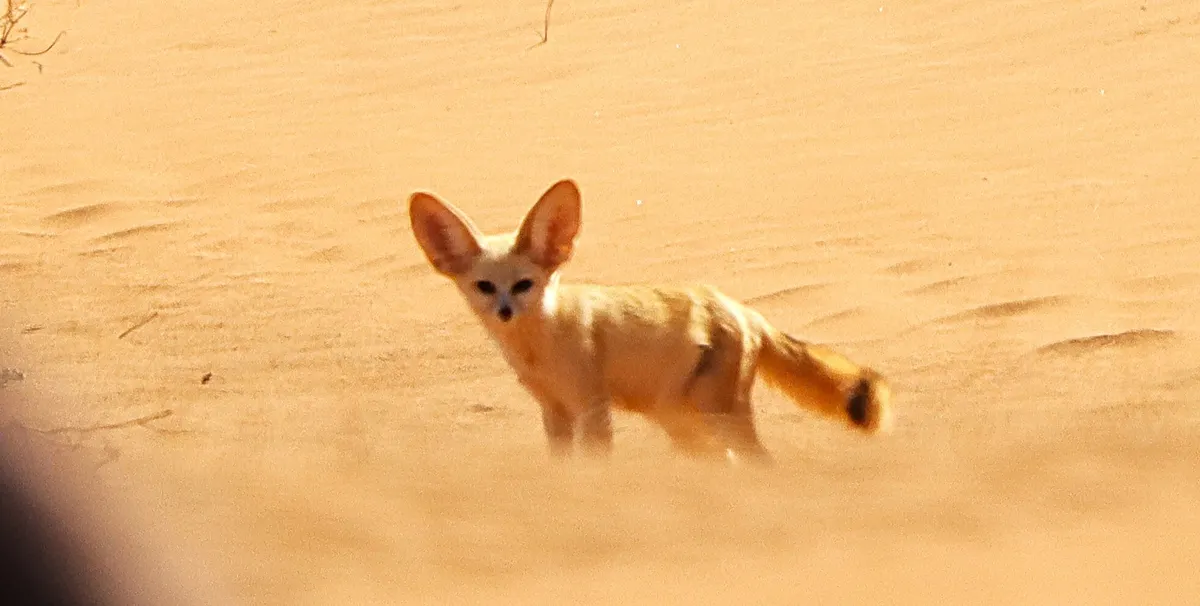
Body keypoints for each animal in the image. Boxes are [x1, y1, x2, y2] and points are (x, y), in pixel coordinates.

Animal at [407, 178, 892, 464]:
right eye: (486, 287)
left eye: (524, 285)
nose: (505, 312)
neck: (539, 349)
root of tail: (743, 309)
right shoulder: (554, 410)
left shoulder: (591, 407)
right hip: (680, 421)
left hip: (715, 414)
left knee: (759, 462)